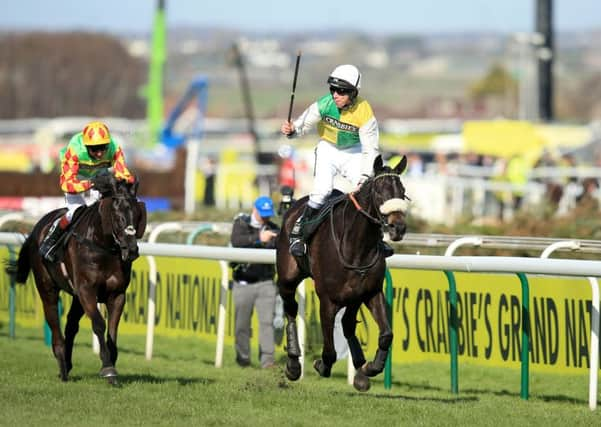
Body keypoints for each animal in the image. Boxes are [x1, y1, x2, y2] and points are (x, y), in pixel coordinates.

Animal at [11, 176, 145, 386]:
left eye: (138, 214)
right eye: (117, 215)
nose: (131, 250)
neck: (103, 247)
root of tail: (36, 228)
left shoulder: (117, 294)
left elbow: (112, 331)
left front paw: (112, 364)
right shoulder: (86, 291)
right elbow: (99, 324)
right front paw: (108, 369)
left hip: (76, 297)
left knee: (71, 325)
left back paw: (67, 363)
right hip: (47, 288)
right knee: (54, 323)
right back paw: (62, 366)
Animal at [276, 155, 408, 392]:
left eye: (402, 191)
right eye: (379, 192)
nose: (398, 227)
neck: (357, 246)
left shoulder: (371, 292)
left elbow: (386, 335)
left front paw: (370, 367)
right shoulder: (327, 300)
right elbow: (329, 351)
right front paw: (320, 364)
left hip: (354, 296)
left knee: (347, 323)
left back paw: (361, 370)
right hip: (288, 277)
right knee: (290, 309)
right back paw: (293, 364)